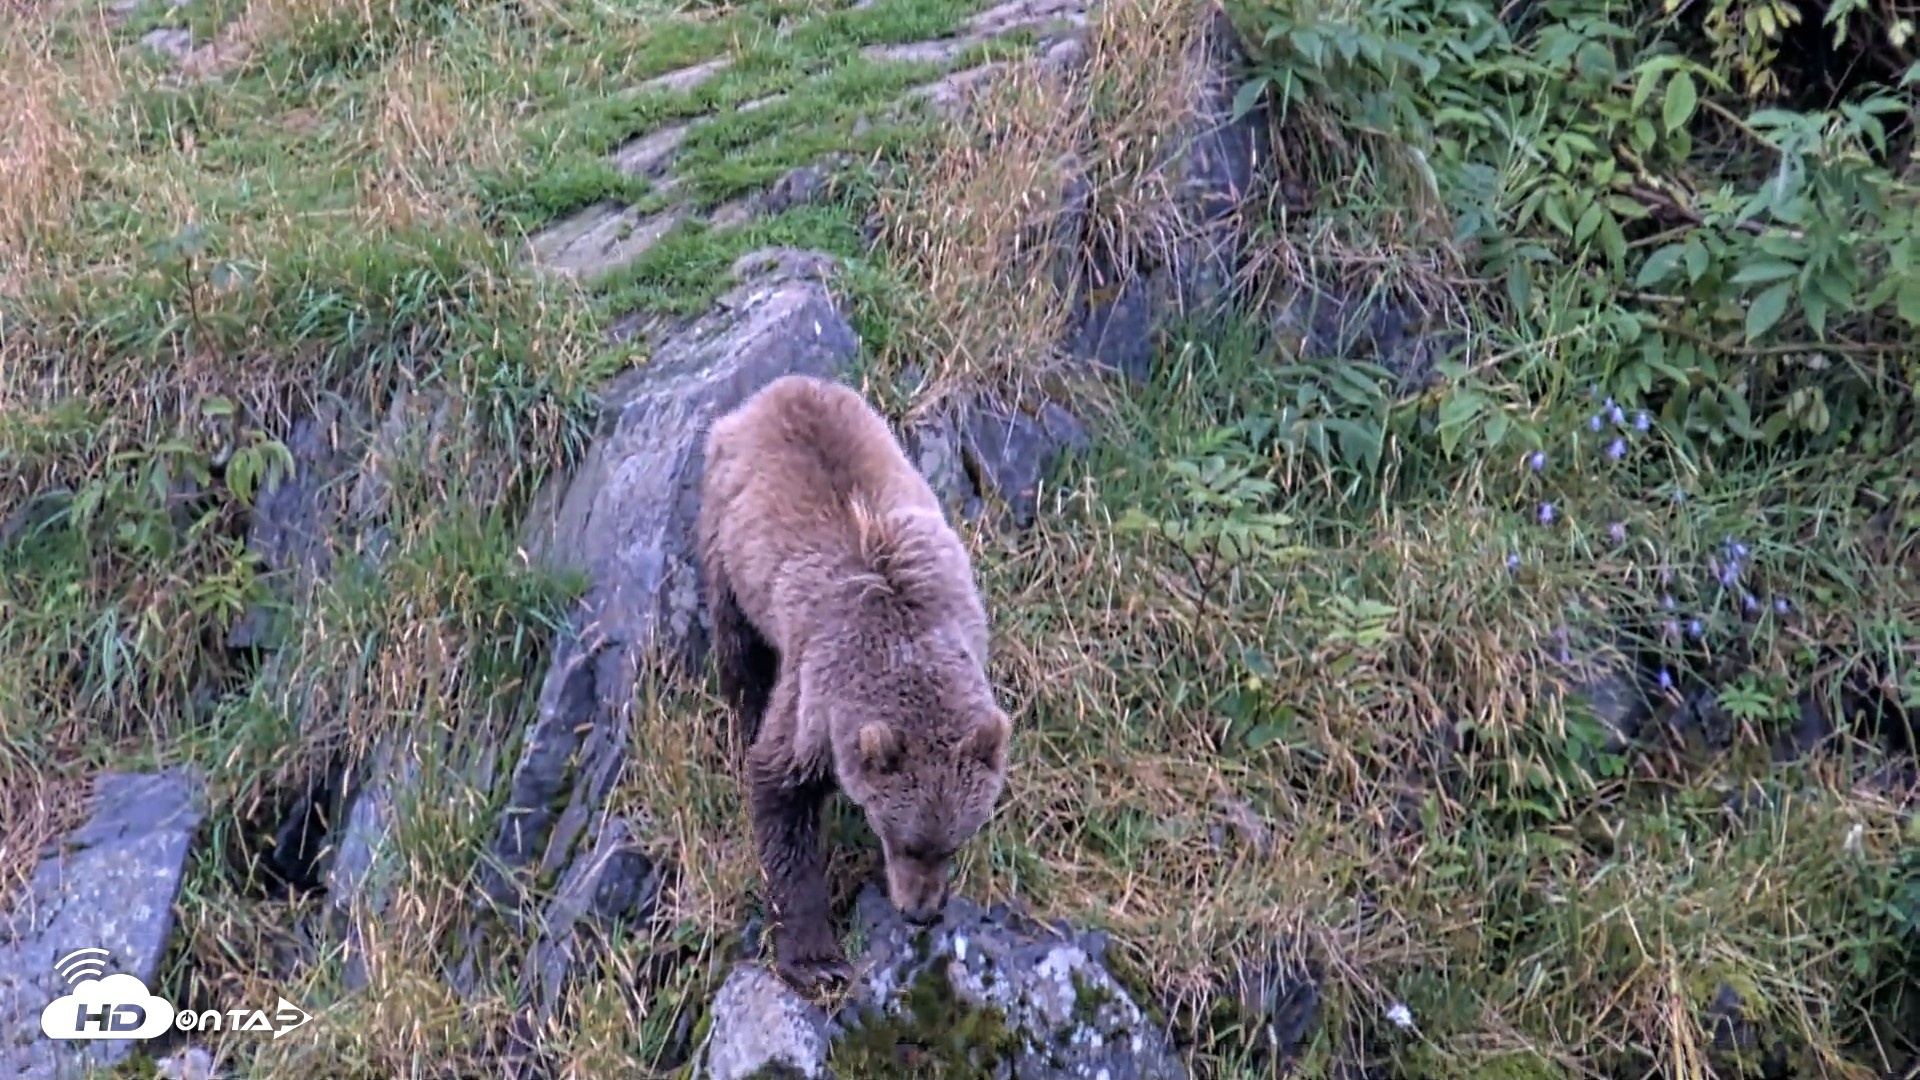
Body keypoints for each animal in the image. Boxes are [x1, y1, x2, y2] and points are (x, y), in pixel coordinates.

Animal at [694, 373, 1013, 991]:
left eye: (954, 840)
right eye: (904, 837)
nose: (921, 911)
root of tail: (780, 387)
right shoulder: (816, 692)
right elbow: (781, 792)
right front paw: (816, 958)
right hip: (726, 538)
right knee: (739, 648)